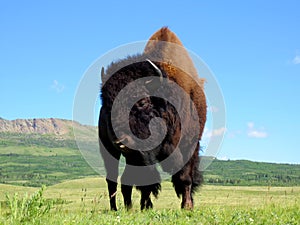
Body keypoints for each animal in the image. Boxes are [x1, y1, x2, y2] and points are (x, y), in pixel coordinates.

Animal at [98, 27, 206, 210]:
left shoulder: (188, 145)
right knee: (113, 180)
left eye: (142, 102)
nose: (120, 140)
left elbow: (184, 177)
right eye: (108, 105)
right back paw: (117, 209)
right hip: (108, 149)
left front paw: (187, 206)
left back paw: (130, 208)